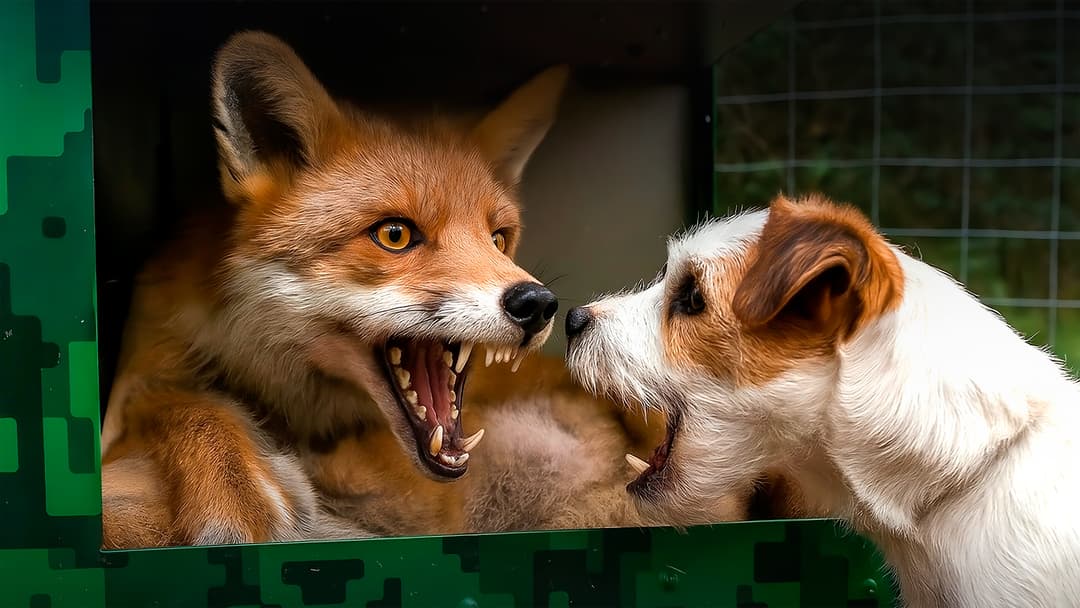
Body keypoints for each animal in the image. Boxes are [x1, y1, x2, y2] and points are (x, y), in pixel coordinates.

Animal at [98, 31, 757, 548]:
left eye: (498, 238)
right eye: (394, 235)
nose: (538, 305)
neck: (297, 404)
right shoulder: (137, 383)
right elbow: (182, 403)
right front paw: (240, 494)